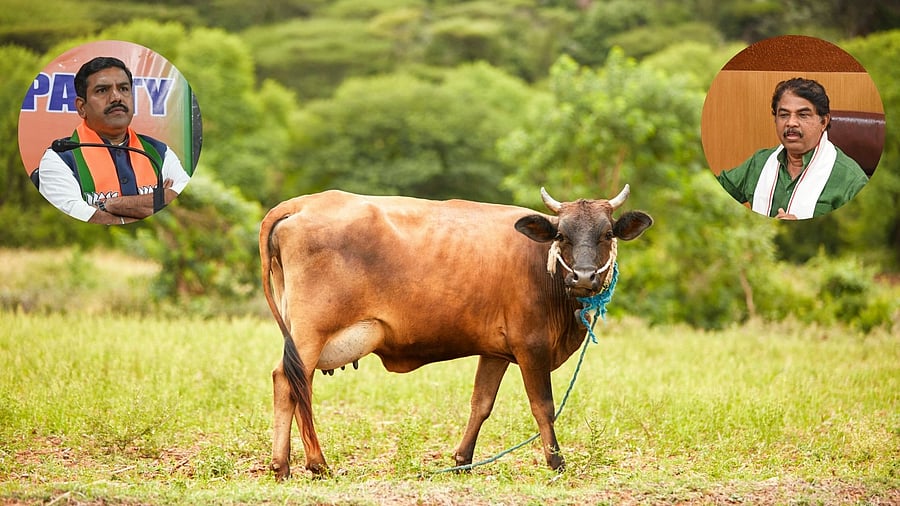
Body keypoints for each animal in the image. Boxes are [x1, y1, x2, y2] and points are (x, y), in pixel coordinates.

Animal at [259, 186, 652, 479]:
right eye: (561, 235)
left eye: (606, 233)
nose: (584, 277)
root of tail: (301, 203)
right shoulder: (532, 348)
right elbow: (543, 406)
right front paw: (556, 461)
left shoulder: (494, 352)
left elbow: (481, 404)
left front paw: (463, 459)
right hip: (311, 334)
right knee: (291, 381)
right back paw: (313, 463)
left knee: (289, 382)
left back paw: (284, 466)